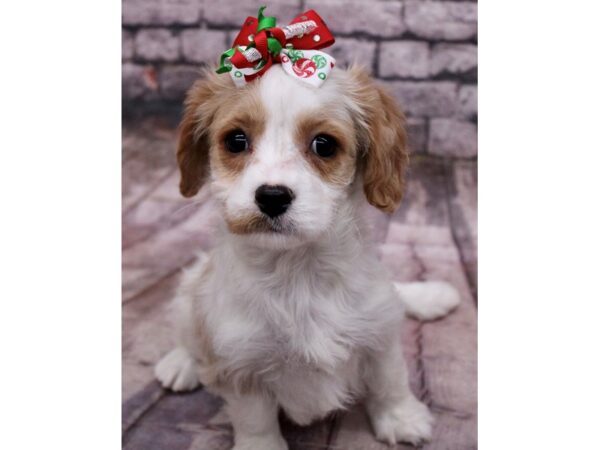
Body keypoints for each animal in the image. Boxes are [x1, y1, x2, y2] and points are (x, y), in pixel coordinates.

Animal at [155, 64, 460, 450]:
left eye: (323, 145)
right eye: (236, 141)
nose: (272, 196)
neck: (297, 269)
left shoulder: (380, 332)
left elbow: (389, 379)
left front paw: (400, 417)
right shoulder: (240, 359)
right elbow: (255, 418)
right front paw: (261, 446)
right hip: (192, 286)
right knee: (187, 327)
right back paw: (180, 362)